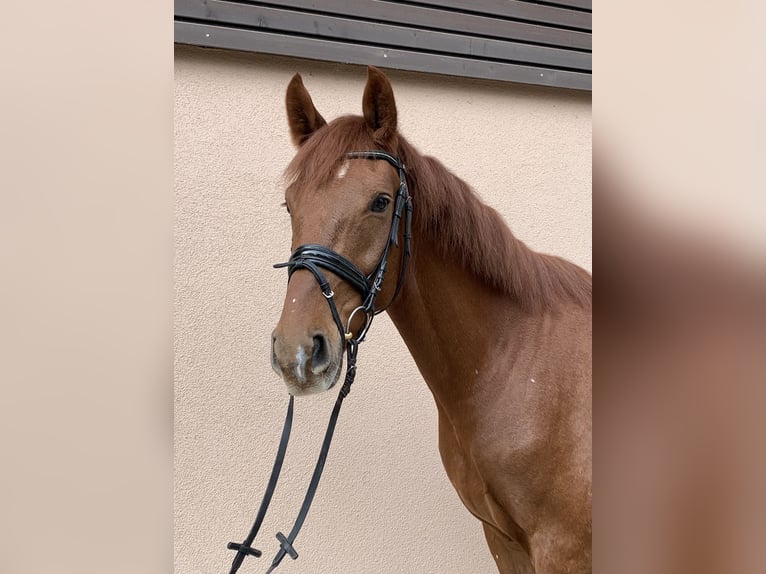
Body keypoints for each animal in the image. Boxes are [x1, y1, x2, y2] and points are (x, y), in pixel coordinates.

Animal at [272, 66, 592, 572]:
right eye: (290, 203)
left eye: (381, 202)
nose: (297, 353)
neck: (514, 364)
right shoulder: (504, 541)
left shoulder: (564, 549)